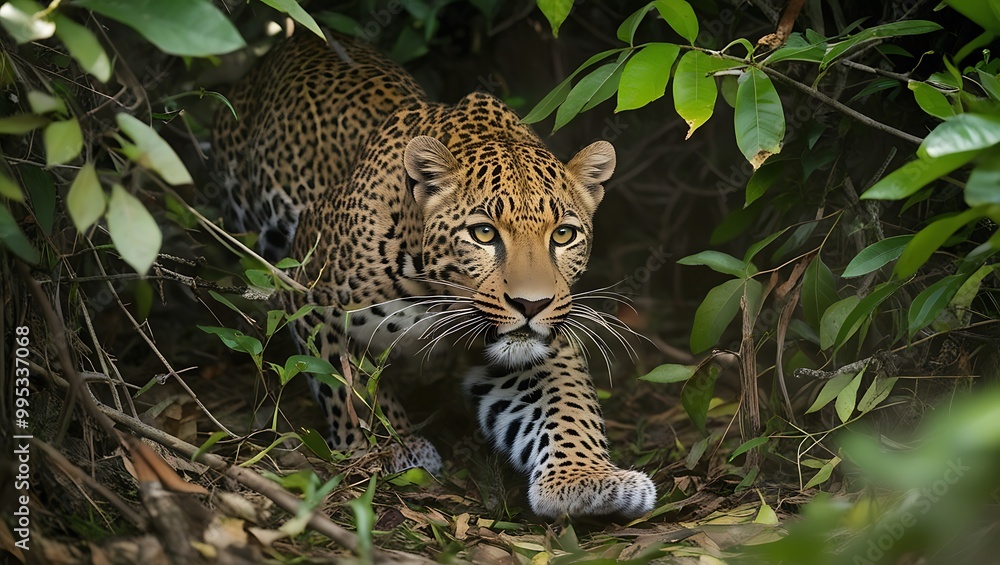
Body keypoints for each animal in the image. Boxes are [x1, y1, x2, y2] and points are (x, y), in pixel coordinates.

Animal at [213, 30, 656, 519]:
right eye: (483, 233)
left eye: (563, 235)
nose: (531, 304)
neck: (433, 292)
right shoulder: (309, 295)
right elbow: (346, 384)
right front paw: (390, 446)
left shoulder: (534, 342)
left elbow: (566, 402)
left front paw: (585, 478)